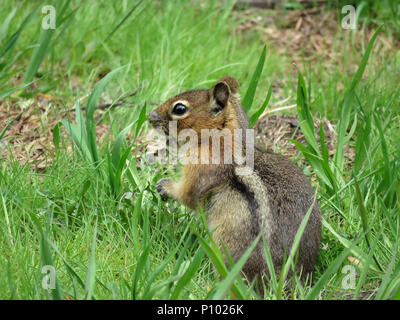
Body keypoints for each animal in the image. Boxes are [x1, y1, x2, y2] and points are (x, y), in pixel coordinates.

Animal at [148, 75, 320, 288]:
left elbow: (187, 195)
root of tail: (289, 281)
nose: (150, 116)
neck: (222, 138)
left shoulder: (200, 168)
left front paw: (164, 186)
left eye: (179, 109)